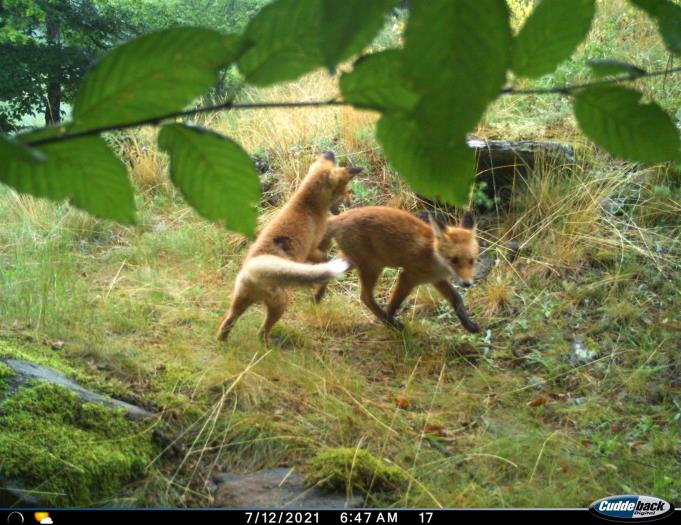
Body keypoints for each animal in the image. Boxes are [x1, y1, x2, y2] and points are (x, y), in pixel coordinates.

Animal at [215, 150, 358, 344]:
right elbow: (324, 260)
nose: (351, 202)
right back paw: (269, 348)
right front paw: (319, 294)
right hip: (280, 304)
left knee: (226, 324)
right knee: (262, 333)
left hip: (239, 303)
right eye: (345, 190)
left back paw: (222, 341)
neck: (306, 205)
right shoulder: (311, 249)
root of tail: (254, 269)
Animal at [318, 206, 480, 332]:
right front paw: (388, 321)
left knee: (327, 270)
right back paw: (390, 322)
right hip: (373, 266)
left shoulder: (437, 279)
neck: (433, 255)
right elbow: (394, 303)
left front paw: (468, 325)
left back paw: (317, 297)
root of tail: (338, 218)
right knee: (365, 297)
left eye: (472, 261)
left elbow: (457, 299)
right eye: (454, 260)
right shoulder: (408, 277)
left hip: (351, 261)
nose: (467, 283)